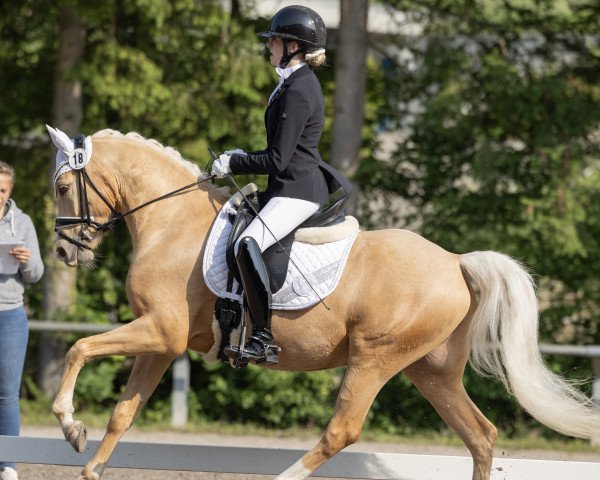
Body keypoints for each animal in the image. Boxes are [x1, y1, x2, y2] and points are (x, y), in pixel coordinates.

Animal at [48, 127, 600, 480]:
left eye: (62, 187)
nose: (63, 252)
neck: (170, 223)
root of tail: (456, 261)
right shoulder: (163, 342)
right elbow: (123, 412)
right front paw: (90, 463)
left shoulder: (159, 329)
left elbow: (78, 348)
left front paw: (70, 425)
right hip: (431, 370)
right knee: (481, 435)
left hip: (375, 358)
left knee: (342, 432)